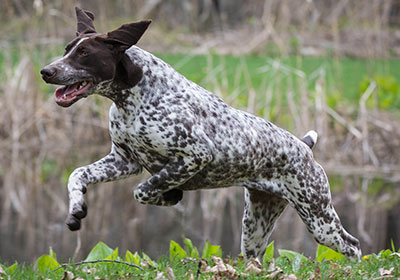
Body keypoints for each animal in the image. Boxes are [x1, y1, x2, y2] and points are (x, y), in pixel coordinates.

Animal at [41, 6, 362, 260]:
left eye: (84, 53)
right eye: (67, 49)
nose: (46, 71)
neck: (133, 96)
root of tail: (304, 146)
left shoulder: (193, 156)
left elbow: (143, 190)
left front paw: (170, 195)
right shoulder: (123, 161)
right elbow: (77, 174)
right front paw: (76, 208)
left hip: (318, 218)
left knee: (353, 246)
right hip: (256, 226)